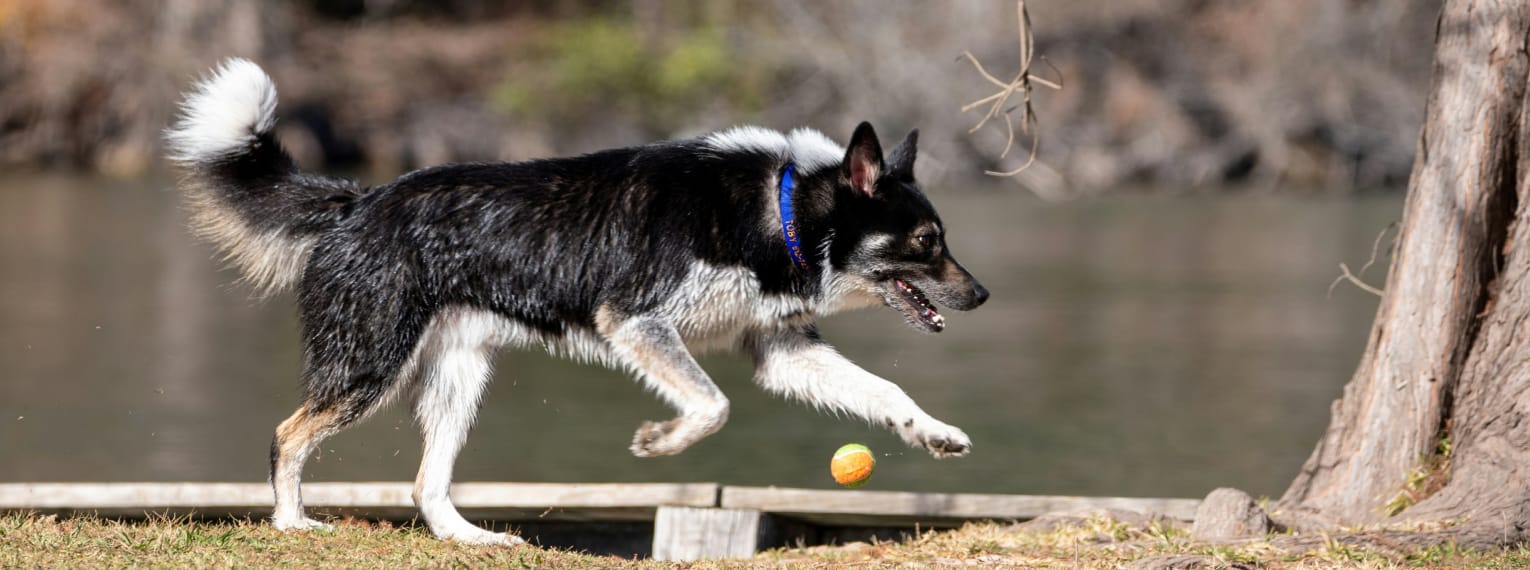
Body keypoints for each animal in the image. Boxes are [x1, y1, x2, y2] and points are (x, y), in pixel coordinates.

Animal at [167, 59, 991, 544]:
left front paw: (935, 433)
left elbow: (884, 391)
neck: (782, 211)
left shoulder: (782, 351)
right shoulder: (636, 322)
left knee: (427, 486)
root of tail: (357, 202)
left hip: (458, 379)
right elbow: (711, 405)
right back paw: (290, 522)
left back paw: (471, 540)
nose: (981, 293)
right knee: (287, 436)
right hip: (371, 367)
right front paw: (660, 441)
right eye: (927, 240)